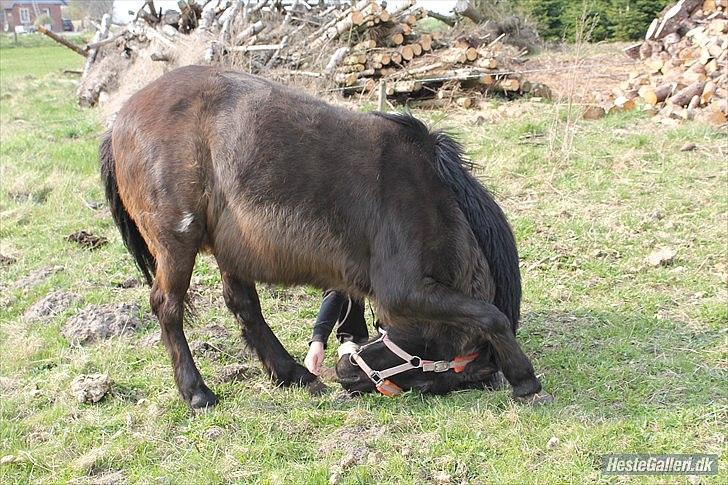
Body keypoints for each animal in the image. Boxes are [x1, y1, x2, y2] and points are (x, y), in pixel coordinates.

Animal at [102, 63, 544, 404]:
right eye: (432, 379)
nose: (348, 374)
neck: (430, 197)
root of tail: (120, 118)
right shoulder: (404, 291)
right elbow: (490, 315)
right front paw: (525, 379)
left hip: (231, 249)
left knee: (243, 305)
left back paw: (292, 373)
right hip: (177, 242)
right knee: (168, 306)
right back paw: (196, 392)